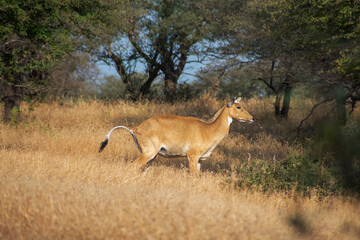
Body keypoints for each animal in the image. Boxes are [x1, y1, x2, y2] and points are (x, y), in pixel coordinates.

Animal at [100, 96, 255, 173]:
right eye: (238, 107)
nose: (252, 118)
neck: (207, 129)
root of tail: (135, 128)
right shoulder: (192, 157)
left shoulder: (200, 160)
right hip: (148, 153)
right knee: (132, 166)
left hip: (151, 156)